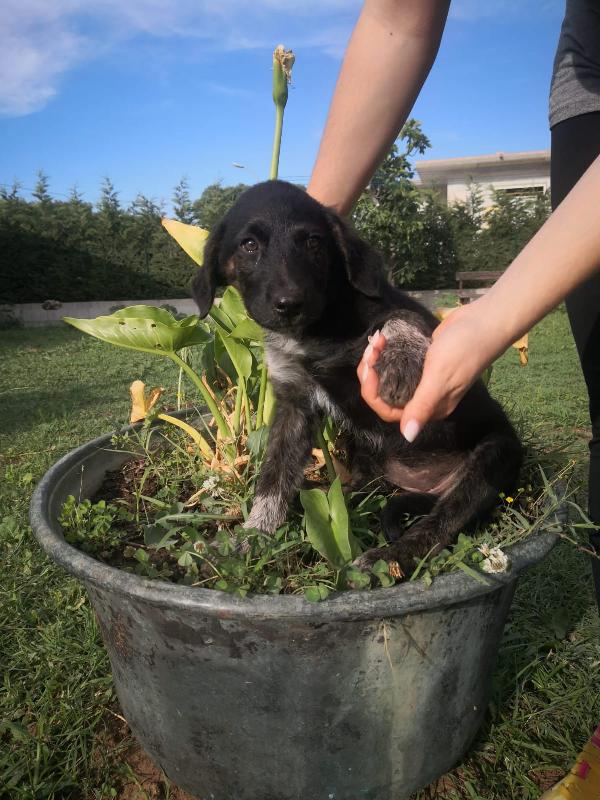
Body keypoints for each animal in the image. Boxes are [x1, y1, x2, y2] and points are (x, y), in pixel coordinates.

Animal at [192, 183, 520, 576]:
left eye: (313, 242)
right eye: (249, 245)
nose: (289, 304)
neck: (316, 331)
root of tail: (429, 486)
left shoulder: (405, 314)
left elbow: (400, 318)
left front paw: (402, 362)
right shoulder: (293, 404)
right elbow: (273, 479)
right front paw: (252, 536)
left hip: (494, 456)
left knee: (440, 525)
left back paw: (388, 558)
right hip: (366, 453)